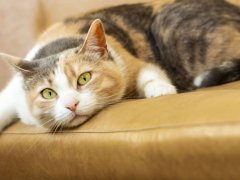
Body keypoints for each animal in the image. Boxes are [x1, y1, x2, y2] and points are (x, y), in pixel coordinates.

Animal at [0, 0, 240, 132]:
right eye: (48, 93)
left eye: (84, 78)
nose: (71, 105)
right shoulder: (12, 96)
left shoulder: (131, 62)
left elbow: (150, 74)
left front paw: (161, 90)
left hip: (169, 25)